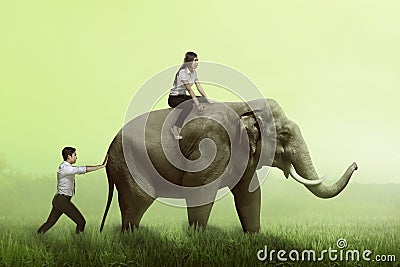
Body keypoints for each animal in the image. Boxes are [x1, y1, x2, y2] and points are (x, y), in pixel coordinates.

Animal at [99, 99, 356, 234]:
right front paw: (197, 238)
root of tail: (108, 150)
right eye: (284, 134)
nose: (355, 164)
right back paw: (131, 237)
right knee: (139, 199)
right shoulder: (211, 145)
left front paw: (254, 236)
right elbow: (200, 187)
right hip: (131, 164)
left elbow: (249, 193)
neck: (246, 104)